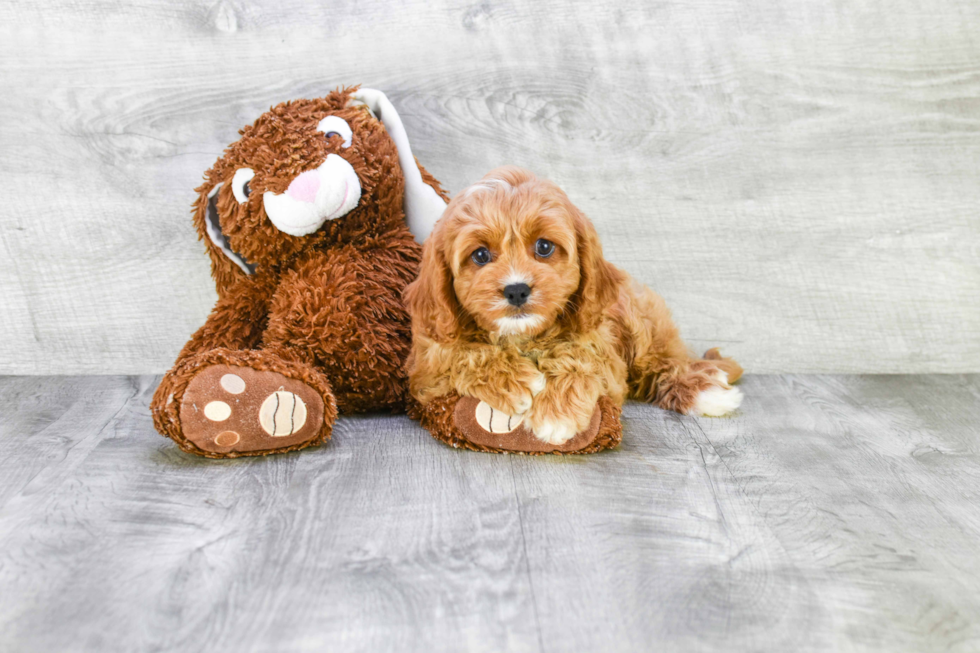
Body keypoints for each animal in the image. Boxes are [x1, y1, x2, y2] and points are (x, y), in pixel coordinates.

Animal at [402, 166, 740, 446]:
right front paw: (515, 381)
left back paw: (705, 390)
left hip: (641, 320)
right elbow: (459, 353)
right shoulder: (426, 366)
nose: (516, 290)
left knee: (662, 363)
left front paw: (556, 413)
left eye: (544, 247)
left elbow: (581, 357)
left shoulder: (602, 347)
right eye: (481, 255)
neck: (523, 337)